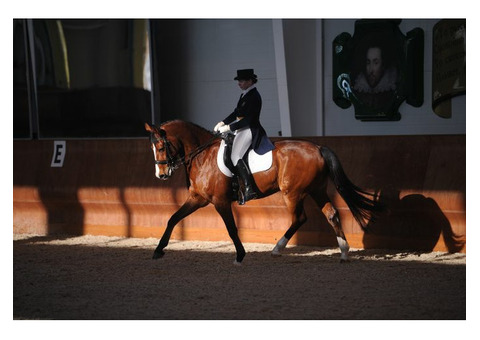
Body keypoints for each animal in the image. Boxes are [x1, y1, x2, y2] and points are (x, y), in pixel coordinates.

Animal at [144, 121, 380, 264]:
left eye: (161, 147)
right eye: (153, 148)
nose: (161, 175)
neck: (203, 156)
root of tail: (318, 148)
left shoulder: (220, 201)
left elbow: (231, 229)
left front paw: (240, 255)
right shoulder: (198, 199)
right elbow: (173, 218)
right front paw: (158, 250)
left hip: (292, 193)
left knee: (300, 218)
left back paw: (277, 248)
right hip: (317, 189)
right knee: (331, 214)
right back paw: (344, 252)